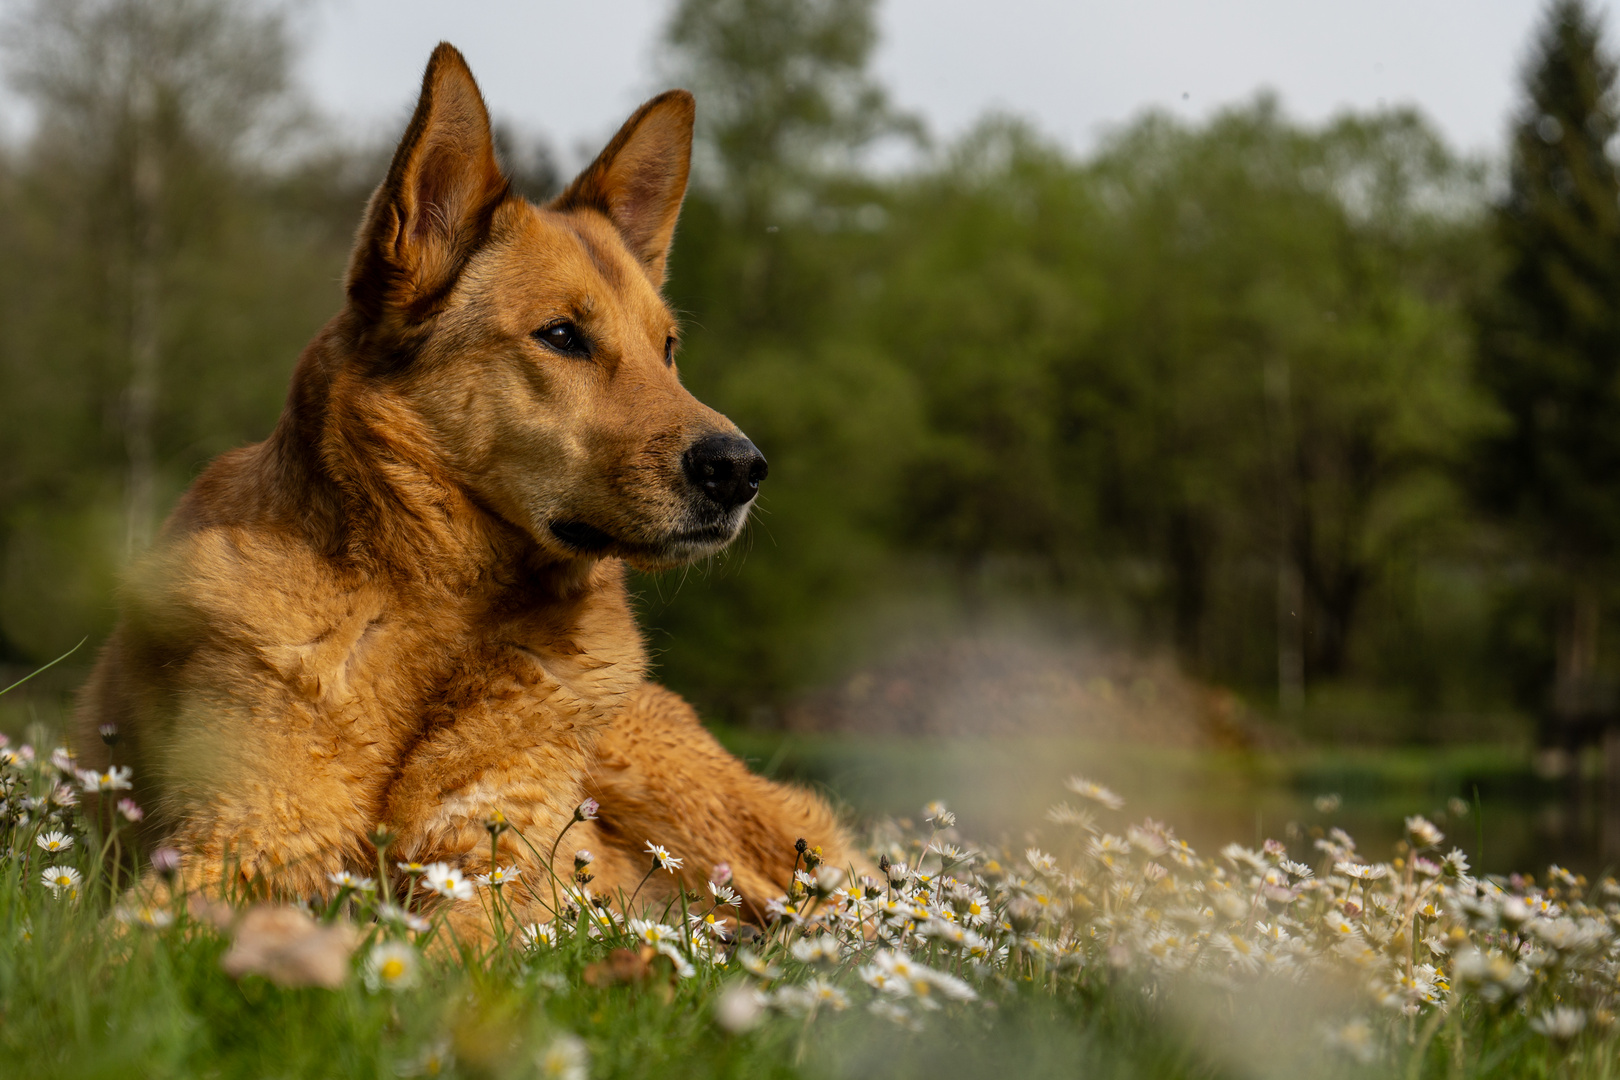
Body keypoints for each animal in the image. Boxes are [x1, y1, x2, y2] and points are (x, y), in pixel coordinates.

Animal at [69, 44, 855, 932]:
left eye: (668, 349)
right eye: (561, 336)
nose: (742, 468)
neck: (438, 621)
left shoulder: (494, 871)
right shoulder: (241, 843)